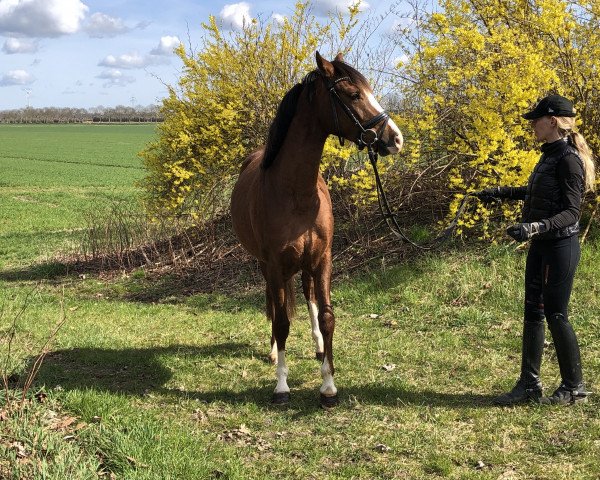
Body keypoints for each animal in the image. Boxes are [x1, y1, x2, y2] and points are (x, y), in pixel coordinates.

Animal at [230, 51, 404, 404]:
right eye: (354, 94)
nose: (395, 139)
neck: (296, 193)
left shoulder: (323, 259)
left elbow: (326, 317)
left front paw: (328, 385)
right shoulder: (274, 264)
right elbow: (282, 321)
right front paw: (281, 386)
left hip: (307, 263)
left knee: (308, 294)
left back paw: (318, 347)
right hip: (266, 265)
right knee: (273, 305)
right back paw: (274, 351)